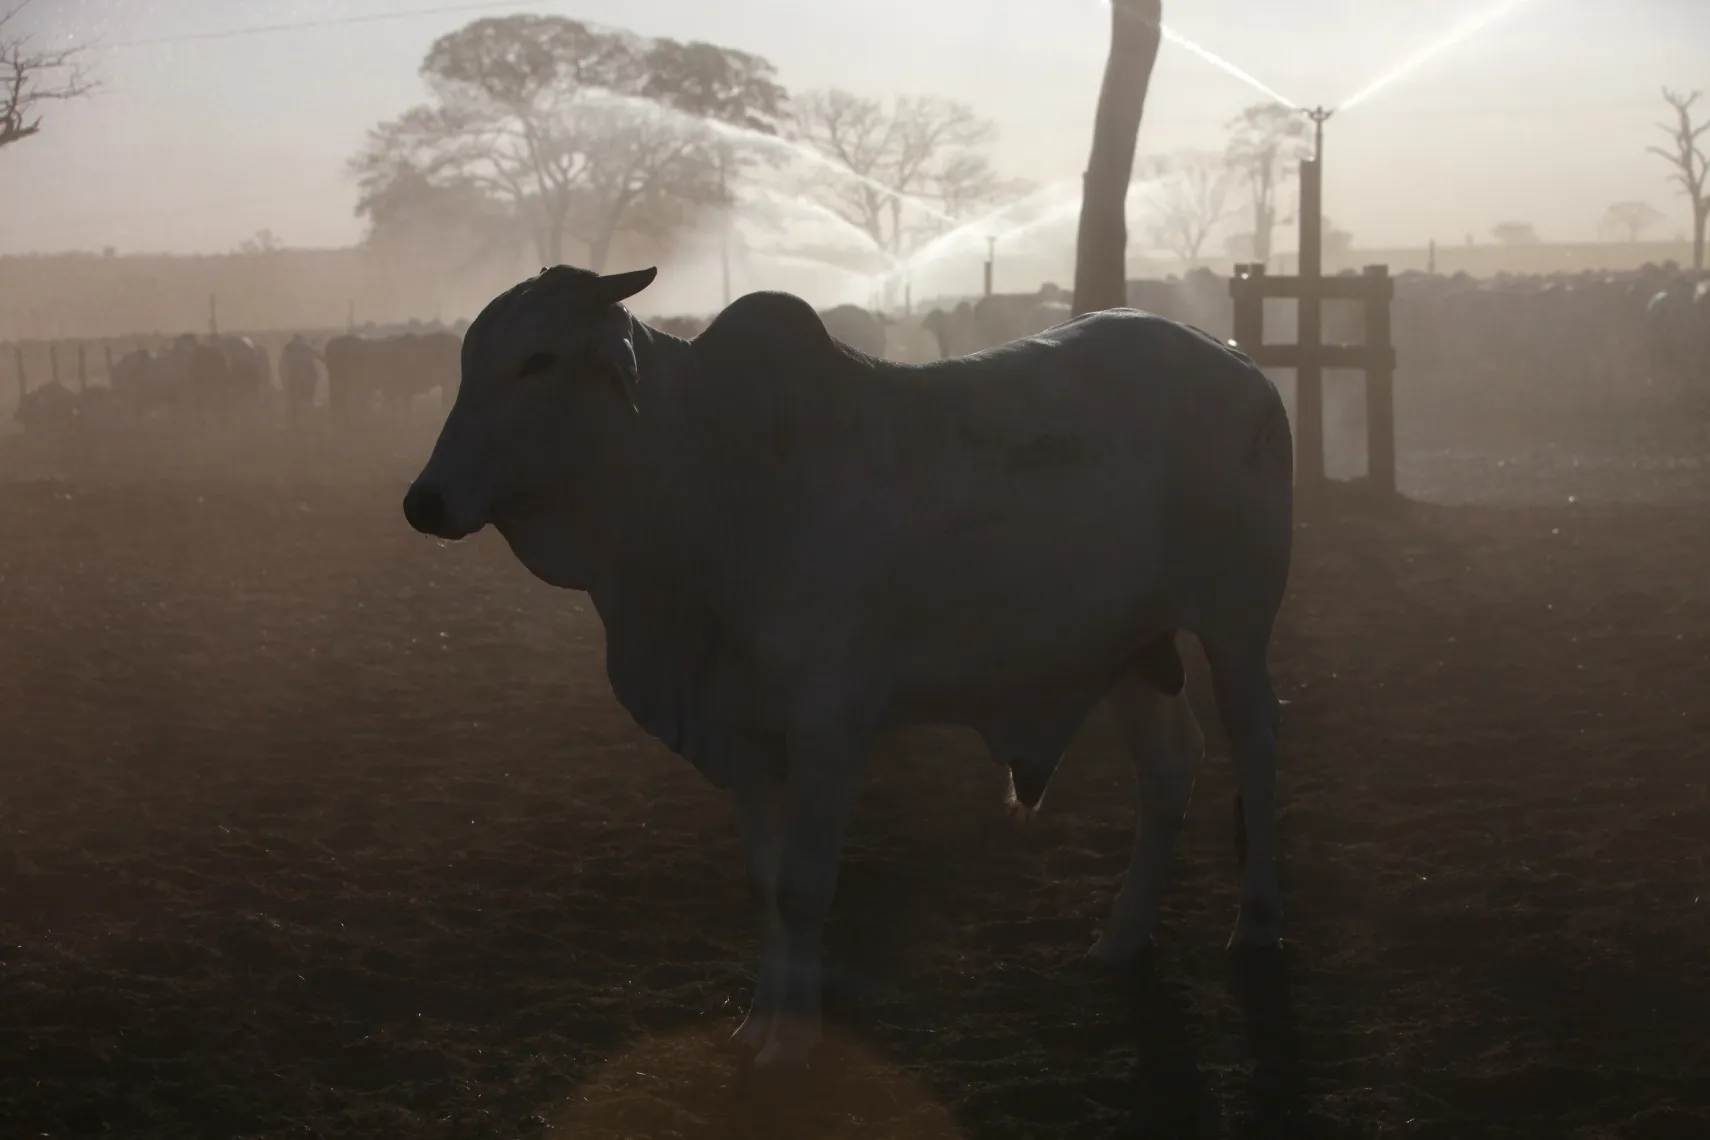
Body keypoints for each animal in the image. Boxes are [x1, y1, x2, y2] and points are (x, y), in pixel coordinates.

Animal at [402, 265, 1293, 1070]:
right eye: (469, 359)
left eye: (539, 361)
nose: (425, 501)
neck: (709, 478)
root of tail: (1241, 362)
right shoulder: (745, 735)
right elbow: (764, 887)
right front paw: (756, 1027)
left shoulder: (833, 724)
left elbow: (803, 890)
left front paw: (796, 1042)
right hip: (1130, 648)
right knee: (1171, 766)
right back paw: (1120, 939)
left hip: (1236, 628)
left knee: (1257, 749)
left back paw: (1255, 924)